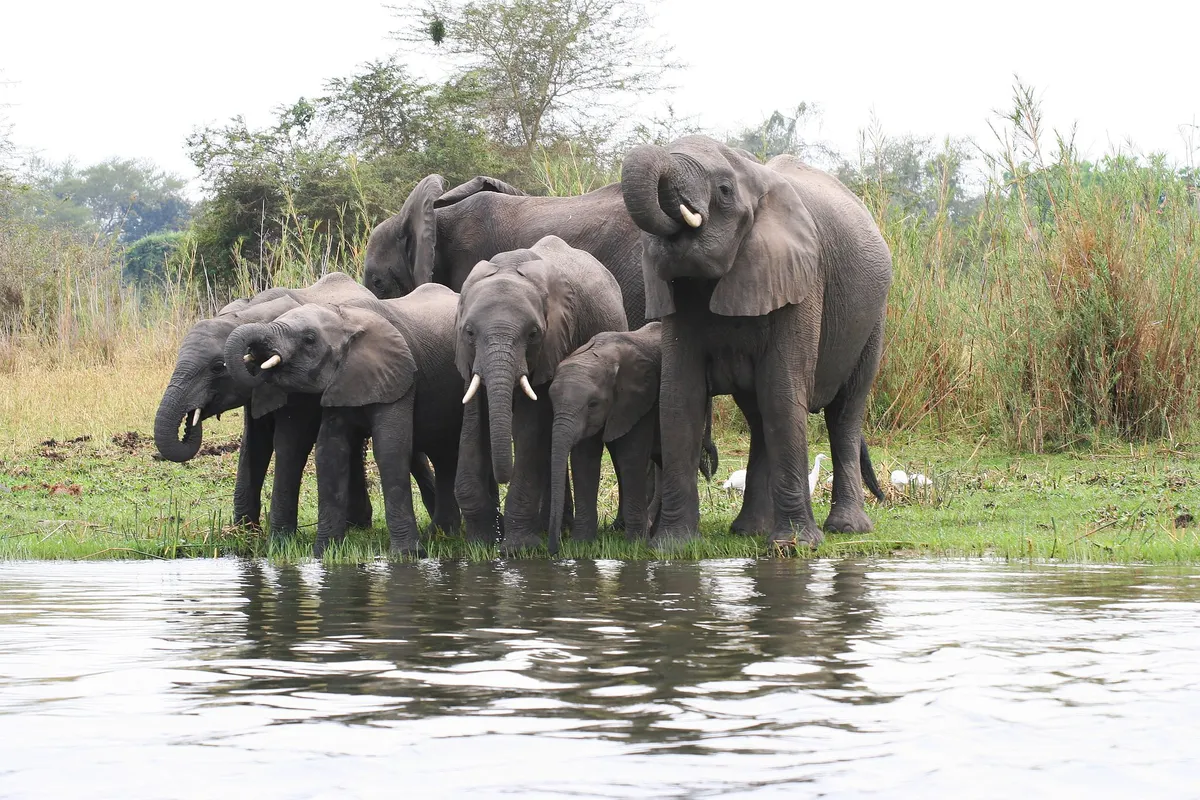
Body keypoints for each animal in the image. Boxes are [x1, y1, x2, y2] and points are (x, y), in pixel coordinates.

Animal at [153, 272, 437, 534]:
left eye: (217, 367)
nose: (191, 421)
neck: (247, 314)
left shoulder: (300, 385)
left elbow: (289, 442)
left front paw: (277, 539)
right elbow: (254, 445)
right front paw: (243, 533)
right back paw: (357, 524)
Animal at [224, 284, 465, 557]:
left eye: (309, 339)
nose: (255, 356)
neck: (345, 318)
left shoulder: (399, 377)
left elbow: (390, 449)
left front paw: (406, 556)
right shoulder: (340, 381)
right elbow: (330, 450)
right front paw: (324, 554)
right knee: (445, 456)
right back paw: (443, 533)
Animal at [453, 235, 628, 554]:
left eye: (533, 334)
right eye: (469, 332)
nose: (501, 477)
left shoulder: (555, 343)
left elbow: (531, 428)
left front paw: (517, 549)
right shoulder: (467, 359)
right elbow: (473, 423)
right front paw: (480, 544)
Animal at [546, 323, 667, 554]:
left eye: (593, 404)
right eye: (551, 401)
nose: (554, 550)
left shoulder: (639, 401)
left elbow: (631, 457)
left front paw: (636, 545)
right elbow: (584, 460)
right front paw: (580, 545)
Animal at [620, 135, 892, 549]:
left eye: (724, 190)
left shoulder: (803, 277)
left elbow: (783, 391)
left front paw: (796, 546)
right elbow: (680, 397)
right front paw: (672, 546)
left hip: (872, 321)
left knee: (844, 412)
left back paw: (846, 528)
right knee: (759, 413)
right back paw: (750, 530)